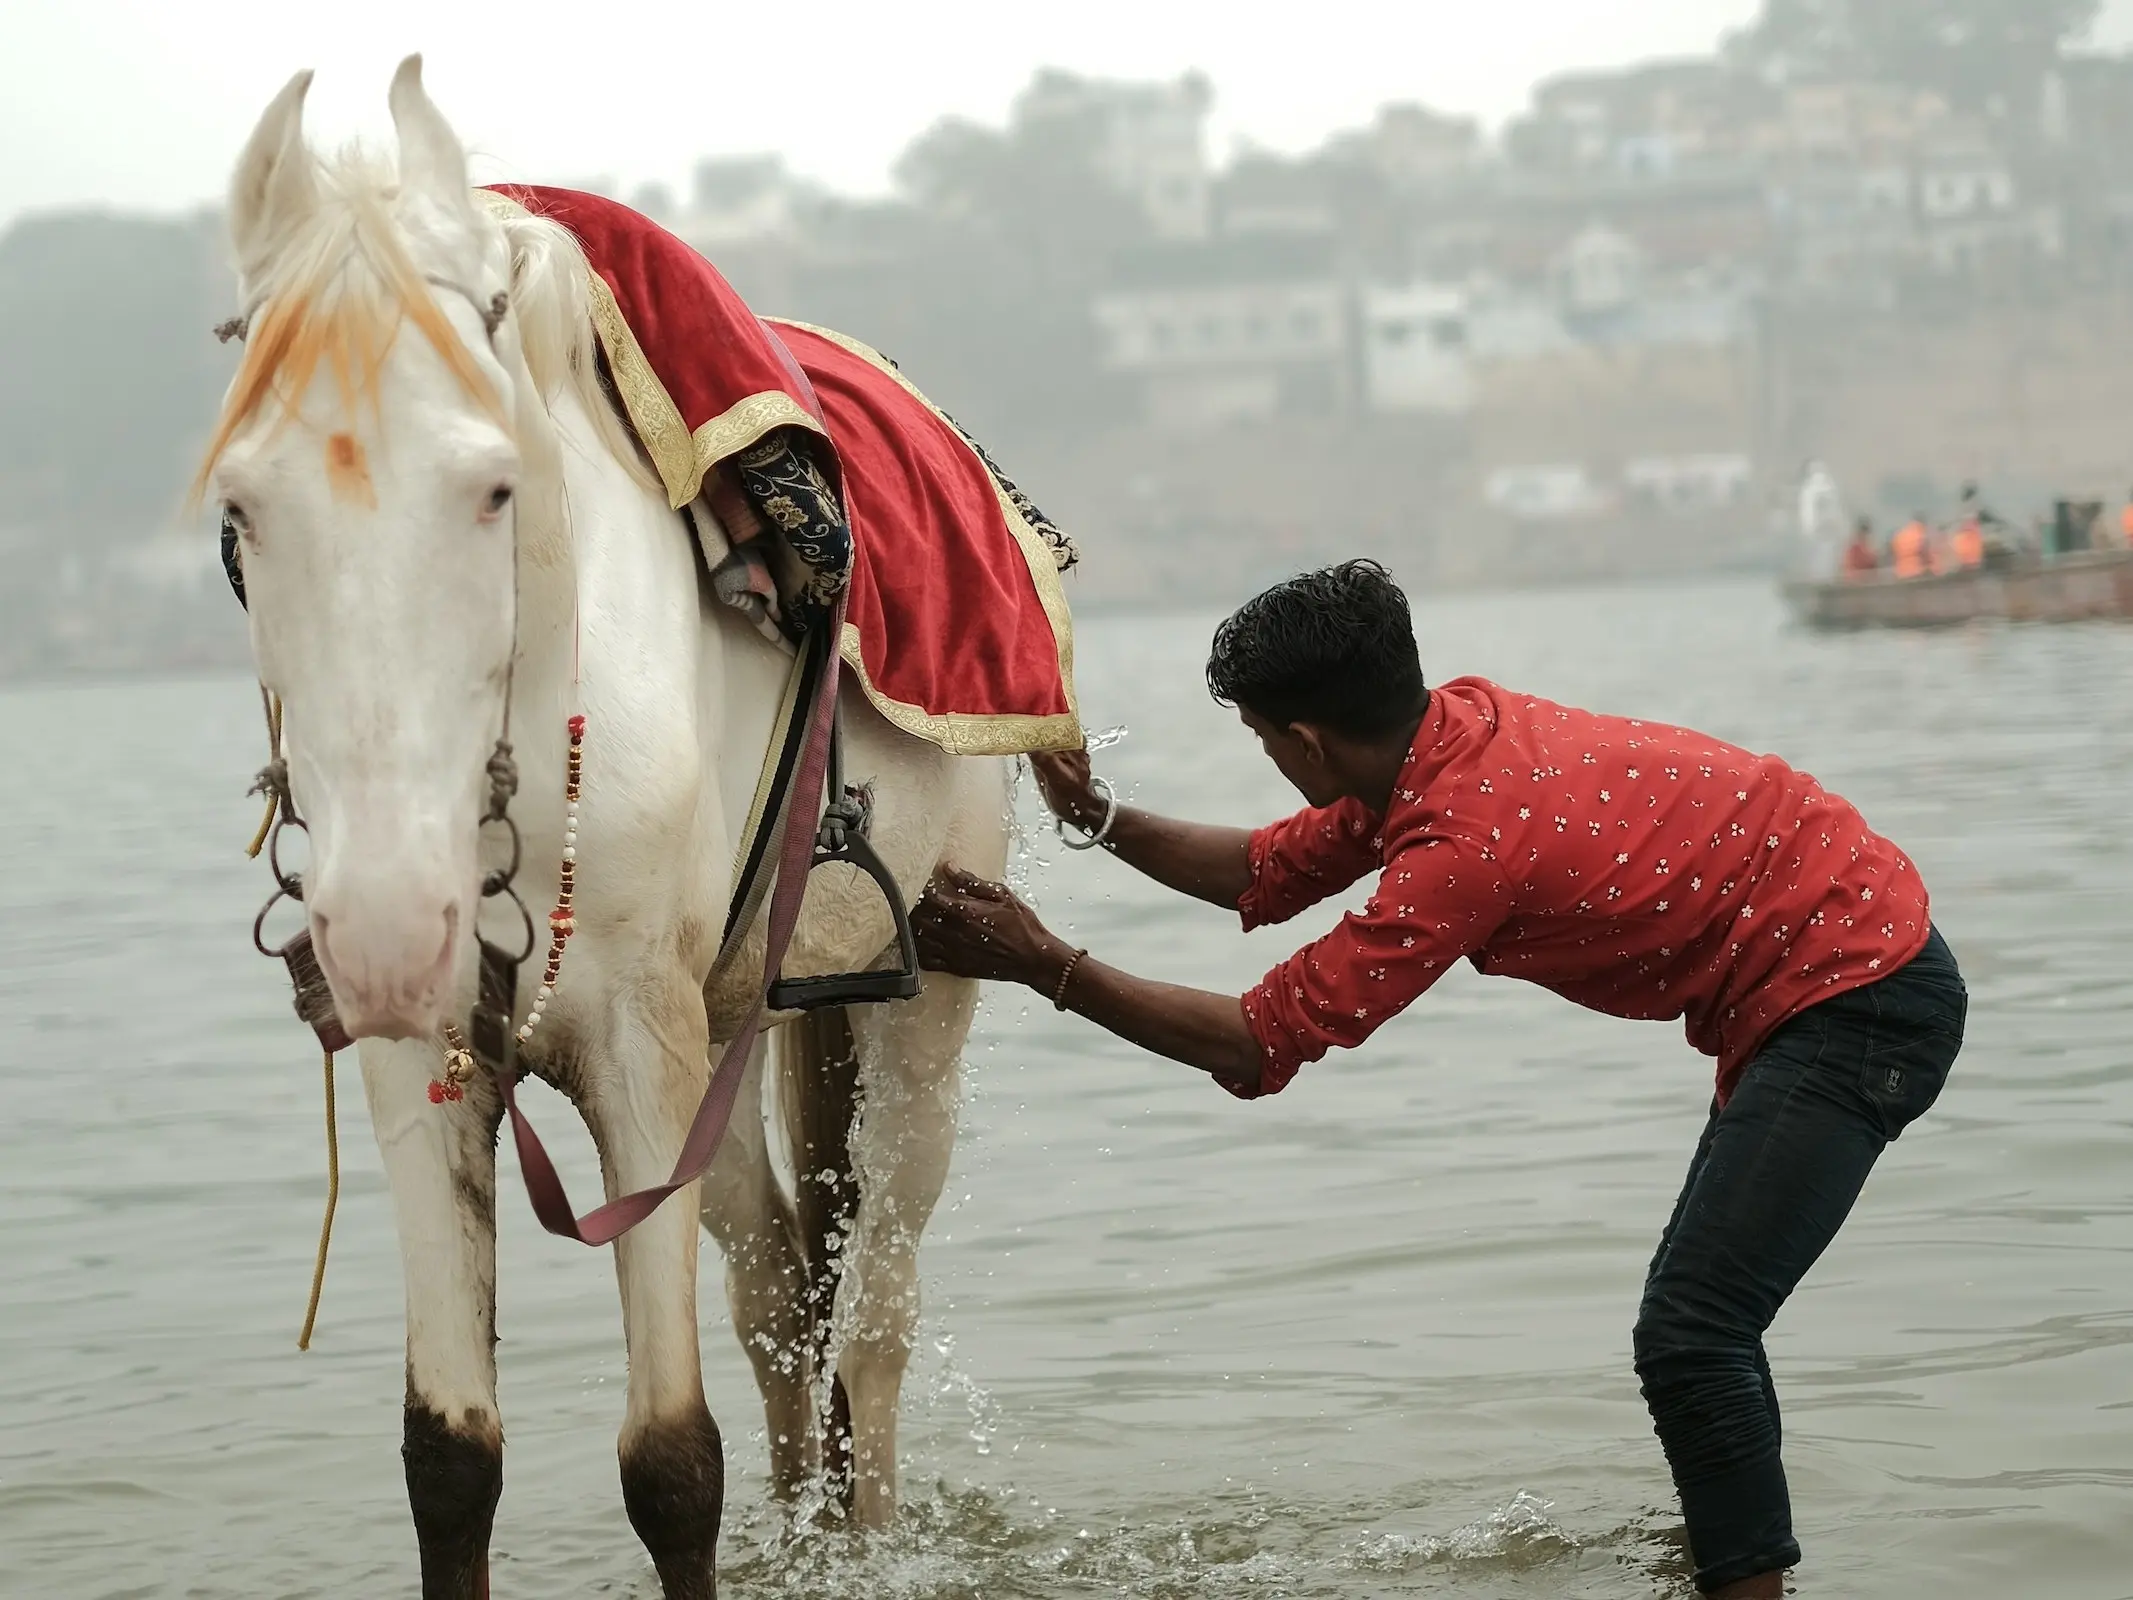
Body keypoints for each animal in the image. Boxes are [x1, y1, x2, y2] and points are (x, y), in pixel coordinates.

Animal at [203, 56, 1019, 1595]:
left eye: (493, 485)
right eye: (241, 506)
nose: (389, 925)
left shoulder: (644, 1049)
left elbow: (671, 1466)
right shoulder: (425, 1061)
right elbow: (449, 1461)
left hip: (930, 987)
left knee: (875, 1320)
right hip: (742, 1017)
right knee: (780, 1285)